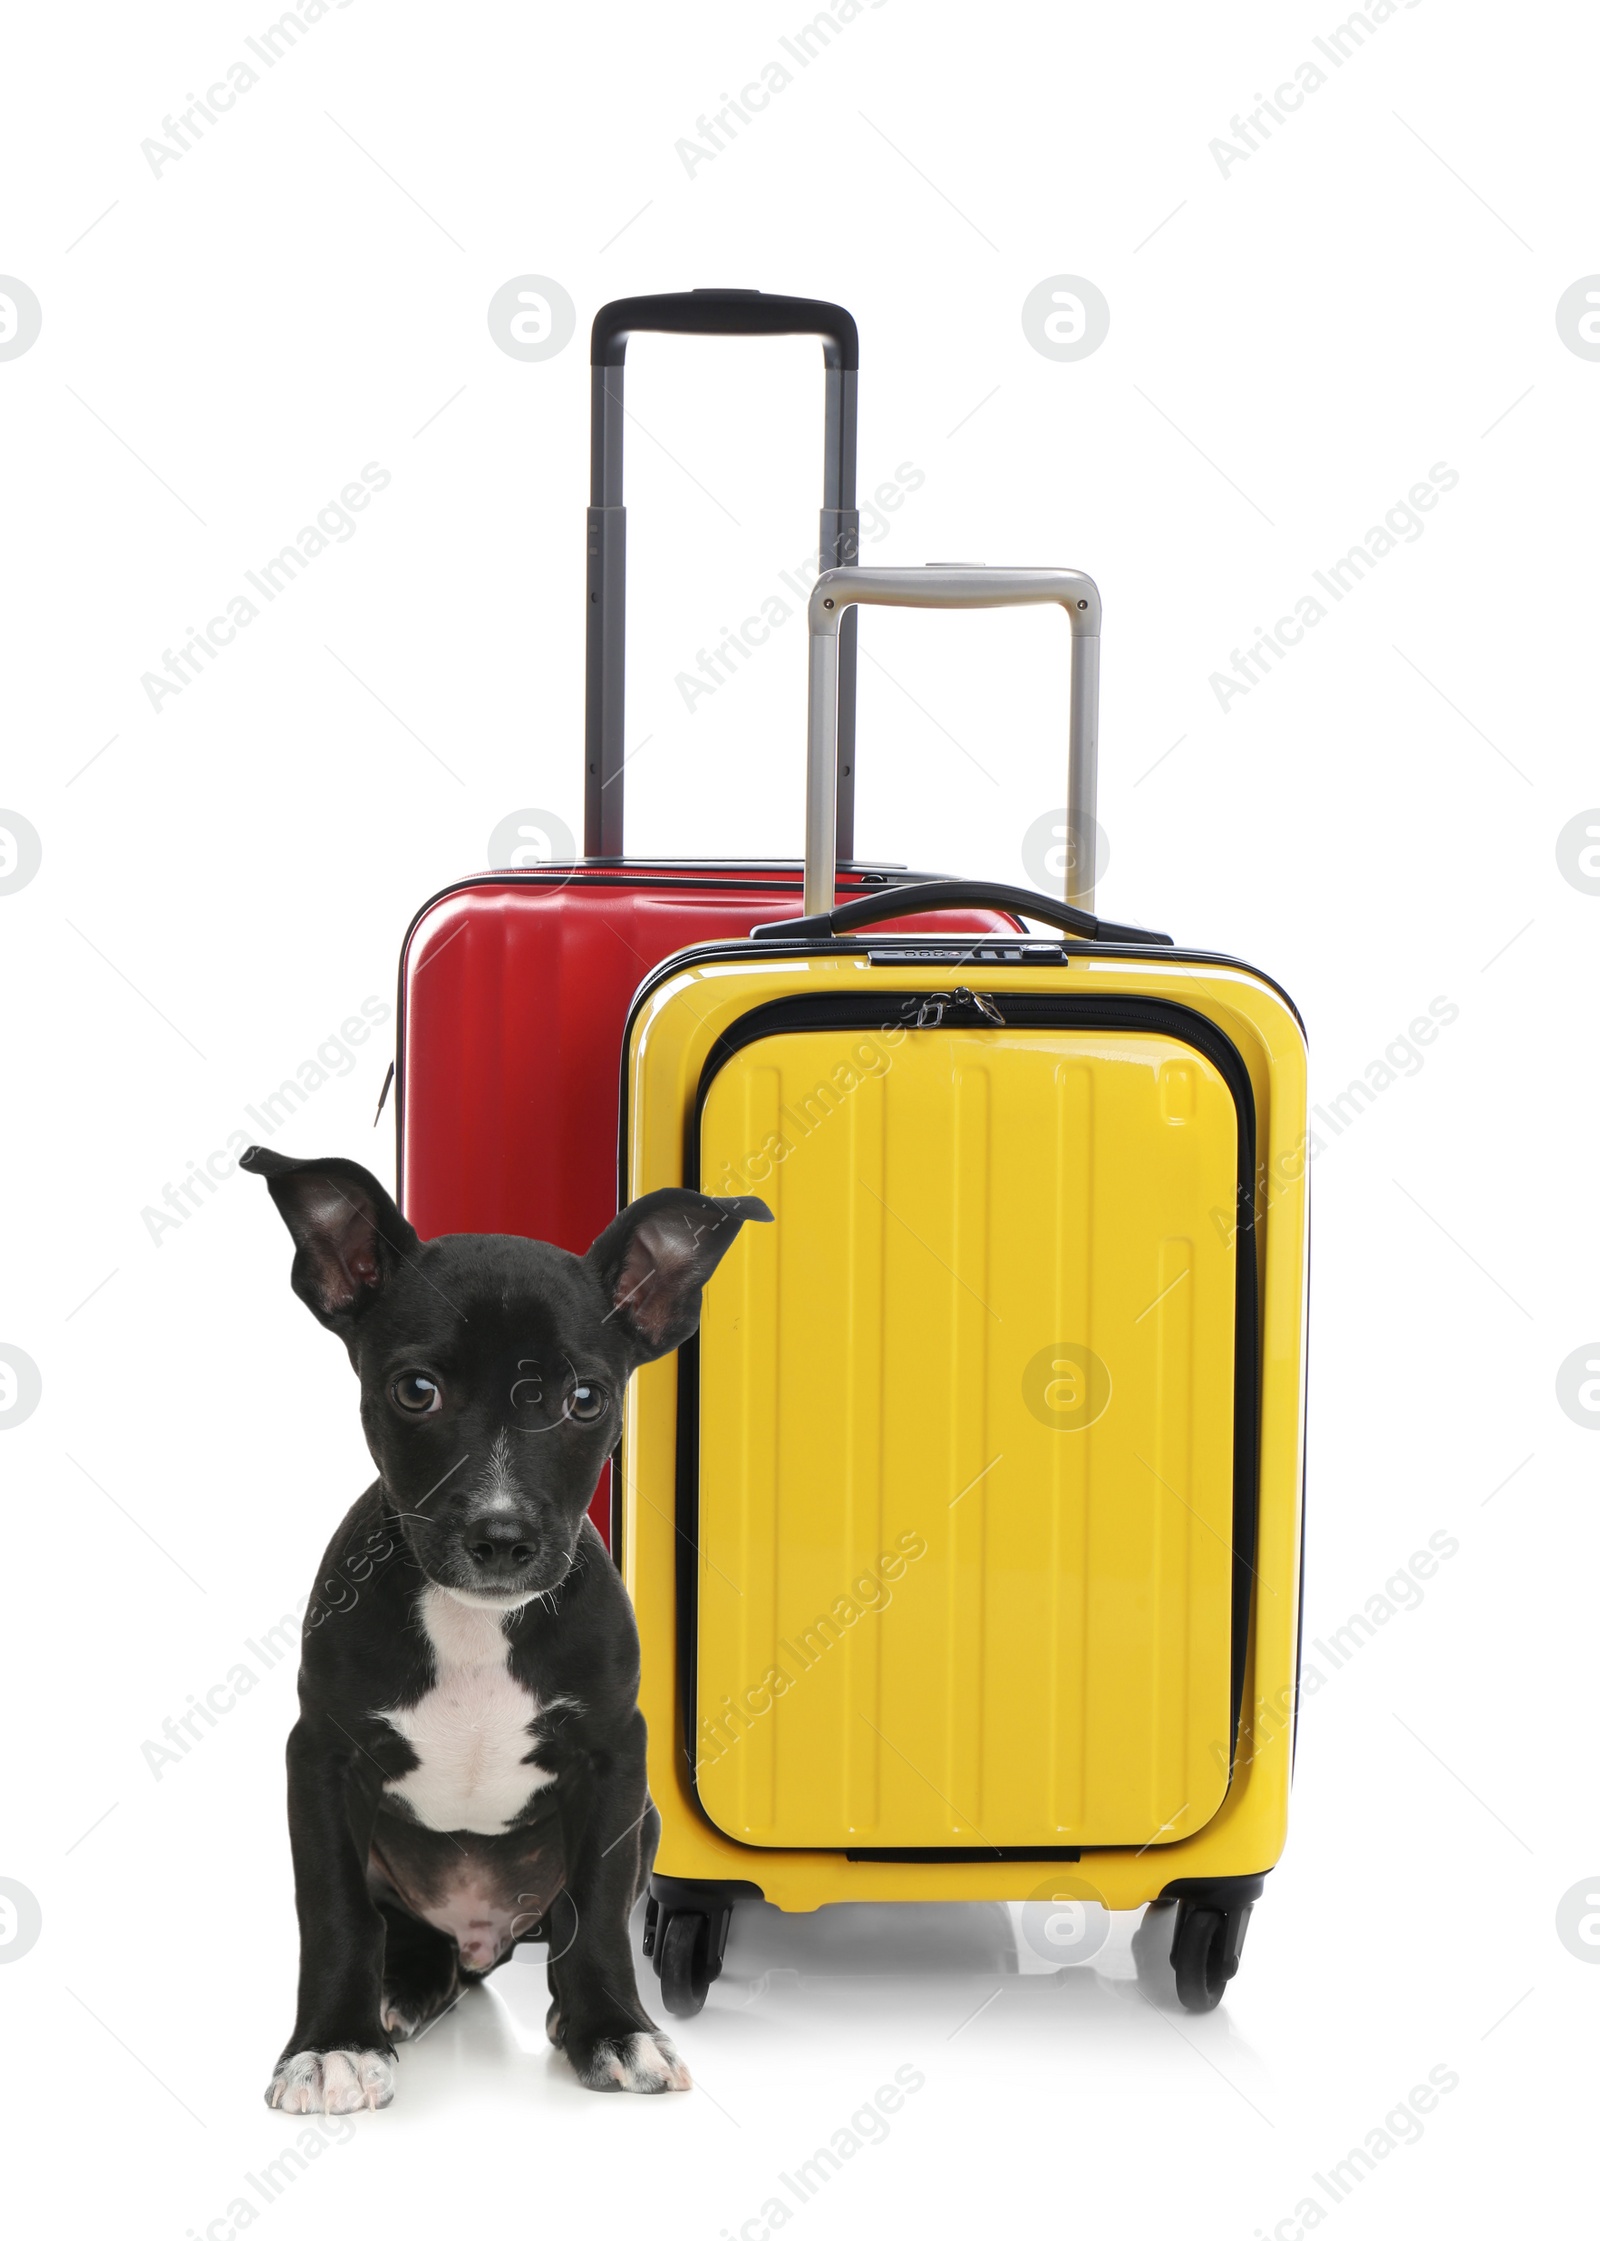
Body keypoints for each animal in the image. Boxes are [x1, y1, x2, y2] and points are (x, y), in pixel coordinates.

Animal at [244, 1147, 770, 2106]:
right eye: (416, 1390)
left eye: (586, 1398)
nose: (501, 1535)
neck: (477, 1627)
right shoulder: (322, 1757)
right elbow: (335, 1912)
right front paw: (332, 2042)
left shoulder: (615, 1758)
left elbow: (597, 1908)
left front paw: (614, 2029)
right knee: (413, 1939)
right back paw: (400, 1991)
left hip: (645, 1822)